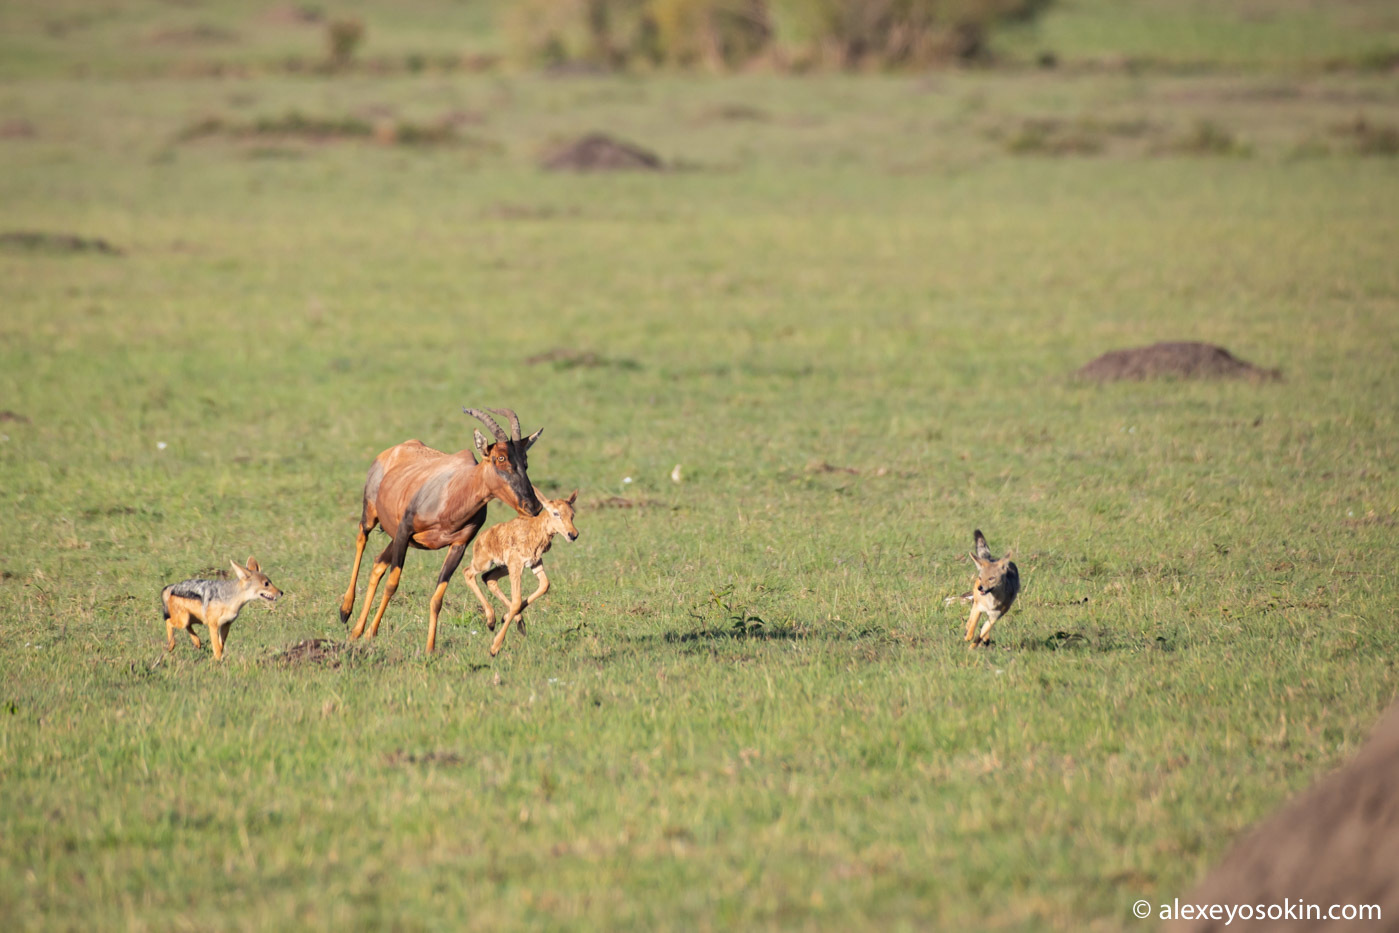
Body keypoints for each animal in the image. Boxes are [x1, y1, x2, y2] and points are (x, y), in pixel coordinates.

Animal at [338, 408, 545, 657]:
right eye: (500, 458)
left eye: (525, 461)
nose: (533, 506)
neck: (453, 492)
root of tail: (396, 449)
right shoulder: (405, 531)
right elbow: (392, 584)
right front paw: (371, 633)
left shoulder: (457, 546)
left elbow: (438, 597)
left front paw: (430, 648)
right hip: (372, 515)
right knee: (362, 539)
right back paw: (346, 611)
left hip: (397, 538)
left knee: (378, 563)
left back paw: (356, 630)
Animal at [467, 489, 576, 657]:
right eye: (556, 513)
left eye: (572, 514)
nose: (573, 535)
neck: (535, 528)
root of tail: (481, 537)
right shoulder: (516, 566)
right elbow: (517, 601)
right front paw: (494, 648)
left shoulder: (536, 564)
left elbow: (544, 585)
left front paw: (507, 618)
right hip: (484, 563)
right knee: (468, 573)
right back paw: (491, 620)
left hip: (502, 567)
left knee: (489, 578)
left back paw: (504, 621)